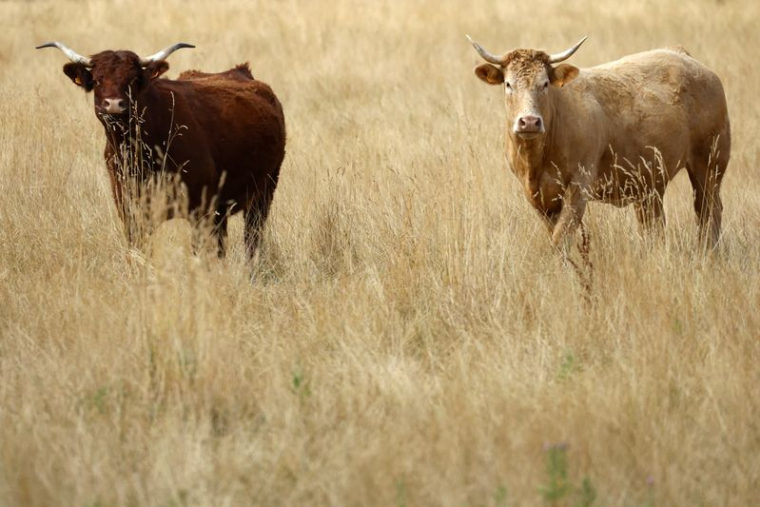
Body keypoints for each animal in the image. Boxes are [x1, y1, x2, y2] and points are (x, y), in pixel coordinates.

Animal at [37, 41, 286, 260]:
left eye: (132, 79)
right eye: (97, 80)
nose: (114, 104)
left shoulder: (200, 209)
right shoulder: (130, 209)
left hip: (263, 193)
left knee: (251, 240)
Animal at [468, 36, 730, 250]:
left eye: (544, 84)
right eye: (508, 84)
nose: (529, 121)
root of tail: (686, 57)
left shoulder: (578, 186)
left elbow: (561, 237)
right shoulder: (537, 195)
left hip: (709, 165)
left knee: (708, 211)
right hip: (650, 184)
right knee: (654, 224)